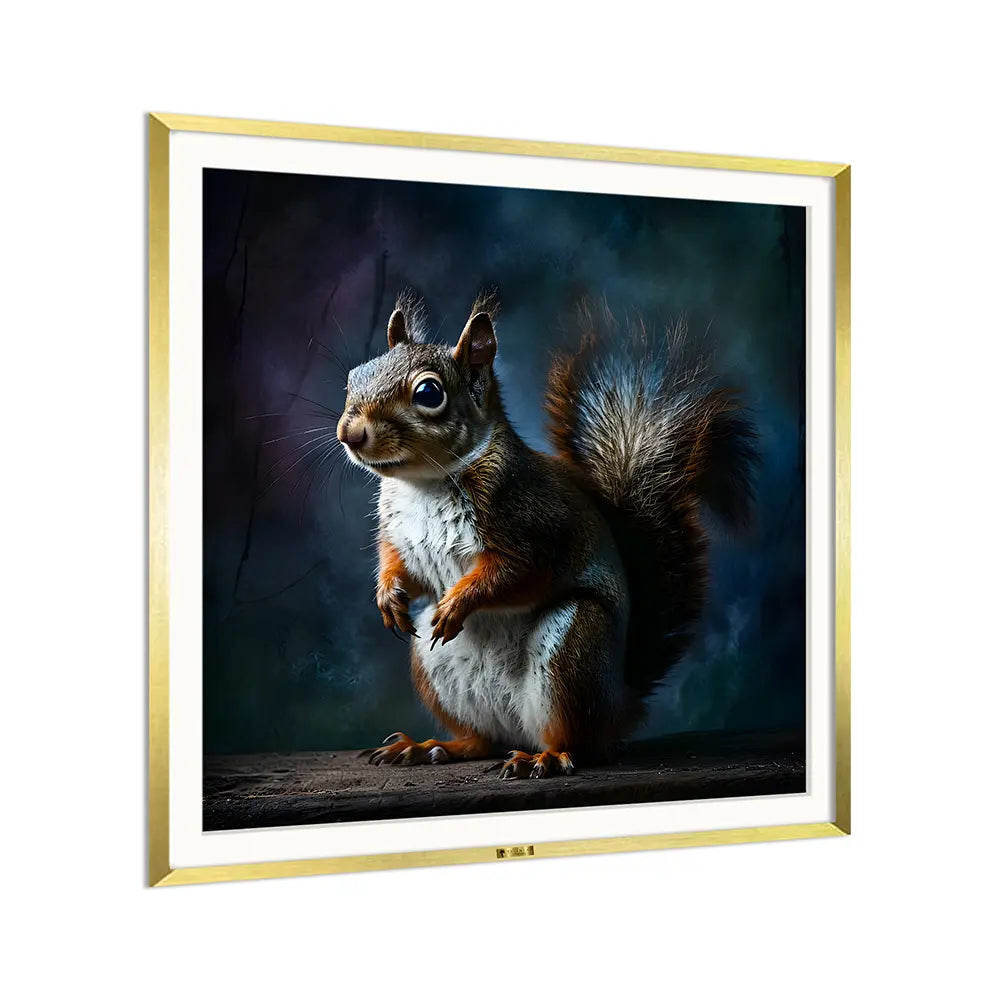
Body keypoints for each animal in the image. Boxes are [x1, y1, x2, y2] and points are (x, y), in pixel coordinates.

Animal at [337, 294, 759, 779]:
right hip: (434, 666)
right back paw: (432, 747)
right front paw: (388, 596)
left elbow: (514, 575)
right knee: (482, 741)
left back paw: (547, 757)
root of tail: (620, 704)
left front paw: (458, 603)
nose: (350, 433)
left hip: (571, 648)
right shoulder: (402, 540)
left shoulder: (534, 527)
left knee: (576, 741)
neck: (424, 483)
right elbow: (401, 567)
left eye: (429, 394)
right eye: (354, 376)